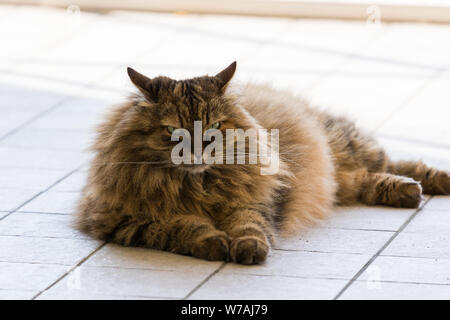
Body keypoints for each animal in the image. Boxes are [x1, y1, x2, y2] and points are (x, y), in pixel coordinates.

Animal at [76, 61, 450, 264]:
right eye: (173, 131)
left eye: (213, 127)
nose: (197, 152)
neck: (197, 186)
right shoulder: (124, 222)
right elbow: (181, 228)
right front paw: (214, 242)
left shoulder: (254, 200)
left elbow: (249, 226)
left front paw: (248, 248)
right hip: (343, 176)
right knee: (361, 181)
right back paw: (406, 192)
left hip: (347, 147)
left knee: (394, 162)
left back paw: (432, 182)